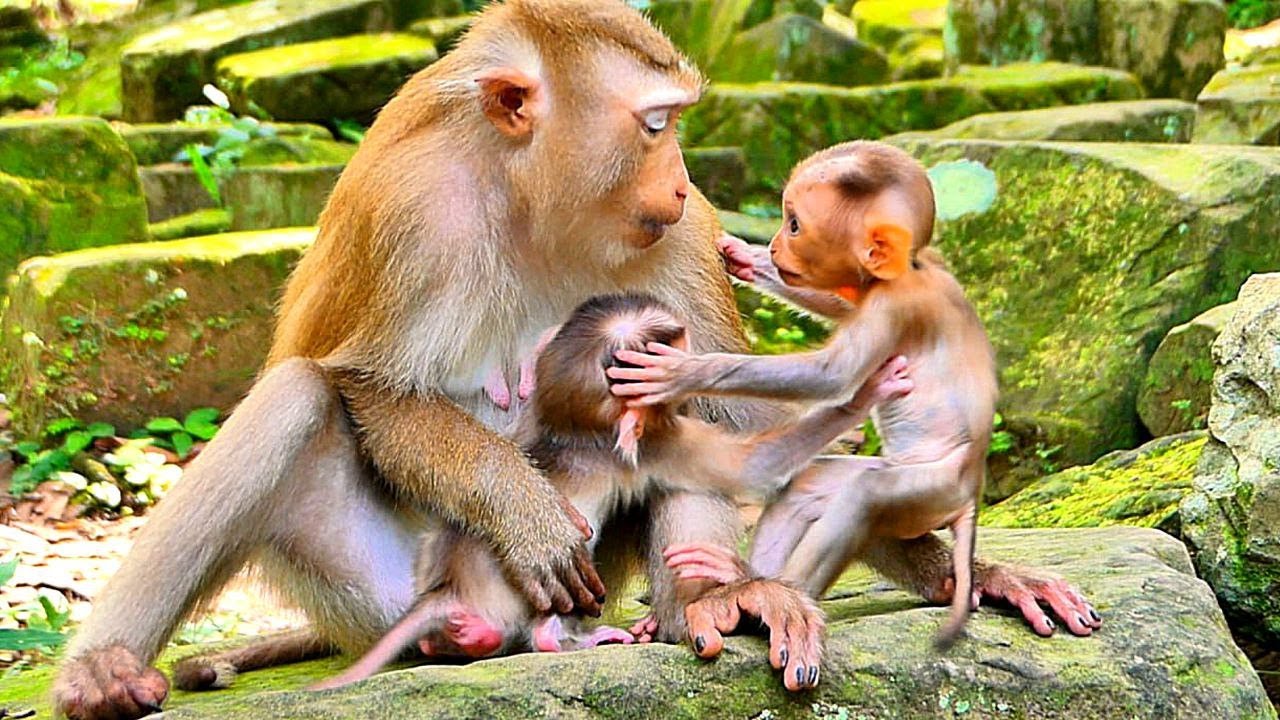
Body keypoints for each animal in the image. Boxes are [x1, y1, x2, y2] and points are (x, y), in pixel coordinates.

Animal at [311, 293, 915, 691]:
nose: (692, 358)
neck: (578, 428)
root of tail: (447, 593)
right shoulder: (660, 442)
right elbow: (749, 466)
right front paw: (863, 396)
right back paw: (569, 636)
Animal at [611, 141, 1104, 649]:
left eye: (794, 223)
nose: (774, 246)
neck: (910, 269)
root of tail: (969, 497)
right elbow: (840, 302)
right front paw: (744, 257)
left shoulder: (894, 306)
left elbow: (832, 376)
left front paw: (681, 371)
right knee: (809, 484)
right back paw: (747, 578)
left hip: (930, 491)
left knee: (863, 497)